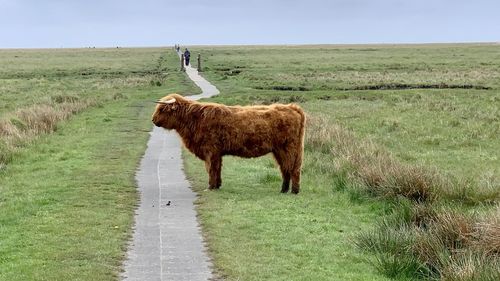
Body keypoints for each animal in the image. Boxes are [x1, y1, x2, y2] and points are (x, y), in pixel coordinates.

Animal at [150, 93, 306, 194]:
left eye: (162, 109)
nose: (153, 120)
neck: (194, 119)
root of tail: (292, 107)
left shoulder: (211, 151)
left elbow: (211, 169)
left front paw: (210, 187)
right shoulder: (217, 153)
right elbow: (218, 168)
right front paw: (218, 185)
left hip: (289, 148)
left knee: (293, 168)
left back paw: (294, 191)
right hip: (279, 150)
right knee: (285, 168)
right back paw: (284, 190)